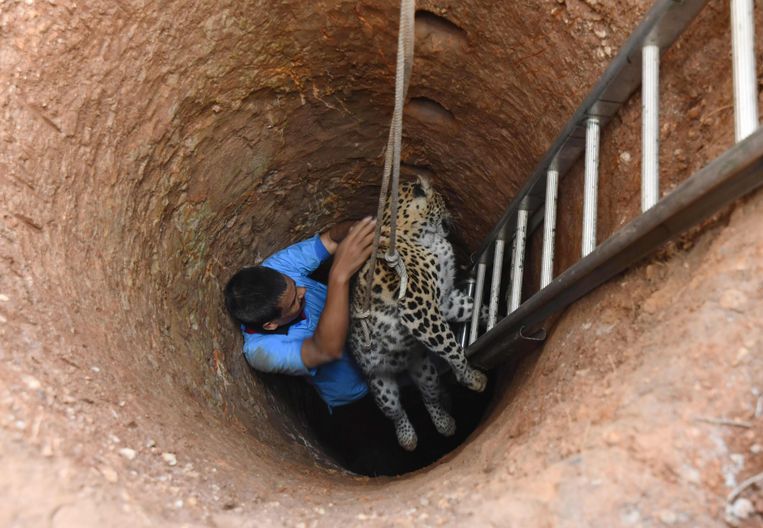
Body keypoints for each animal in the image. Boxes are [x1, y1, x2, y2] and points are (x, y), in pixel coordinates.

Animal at [350, 175, 486, 452]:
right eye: (442, 200)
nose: (450, 213)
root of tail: (401, 367)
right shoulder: (418, 306)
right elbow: (451, 347)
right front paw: (470, 376)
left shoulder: (442, 301)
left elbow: (467, 308)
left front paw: (488, 311)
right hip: (381, 385)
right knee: (396, 412)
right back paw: (408, 438)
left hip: (424, 369)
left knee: (429, 397)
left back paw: (445, 423)